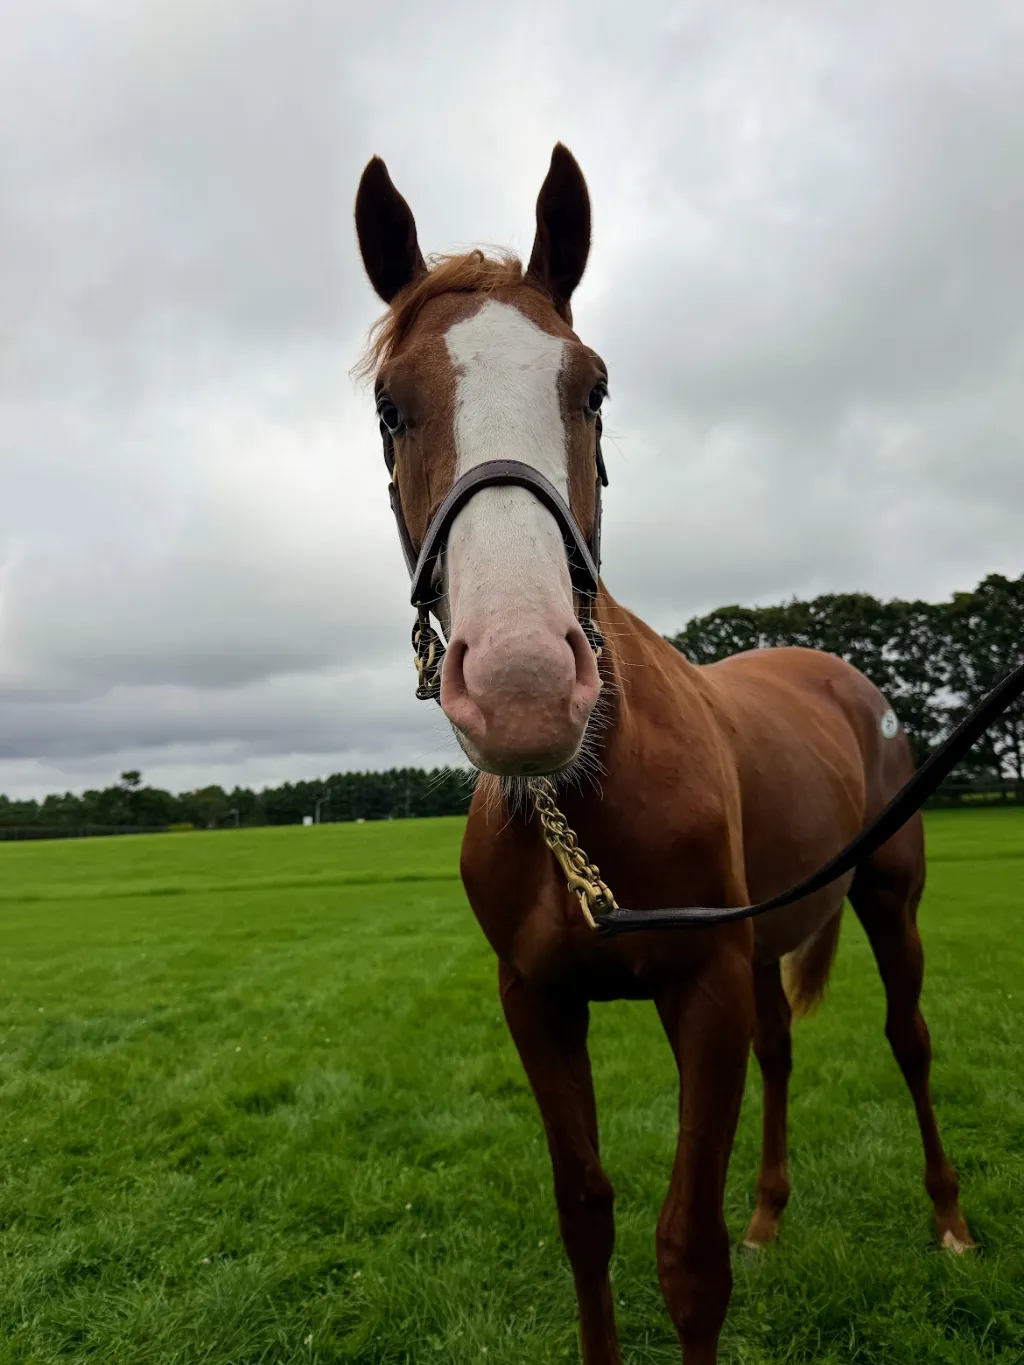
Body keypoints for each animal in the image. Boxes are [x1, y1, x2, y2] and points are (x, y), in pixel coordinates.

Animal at [353, 144, 973, 1365]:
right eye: (392, 406)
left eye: (592, 387)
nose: (522, 680)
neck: (583, 801)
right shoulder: (540, 1003)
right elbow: (584, 1218)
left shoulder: (704, 990)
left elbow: (688, 1255)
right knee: (786, 1050)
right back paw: (773, 1214)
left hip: (887, 900)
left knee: (908, 1039)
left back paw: (948, 1220)